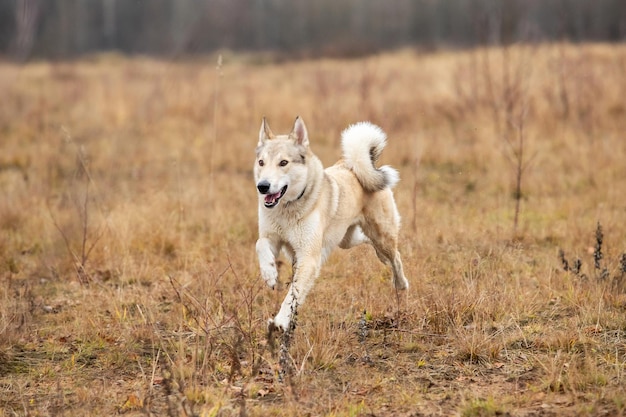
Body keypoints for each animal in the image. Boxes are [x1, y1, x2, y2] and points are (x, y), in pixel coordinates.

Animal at [255, 115, 410, 330]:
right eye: (261, 162)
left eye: (283, 162)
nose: (262, 186)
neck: (286, 210)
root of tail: (351, 164)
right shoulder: (272, 238)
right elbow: (260, 244)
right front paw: (269, 273)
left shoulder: (309, 258)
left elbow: (292, 296)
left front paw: (280, 322)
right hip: (347, 240)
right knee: (367, 241)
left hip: (382, 236)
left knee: (395, 257)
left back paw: (401, 284)